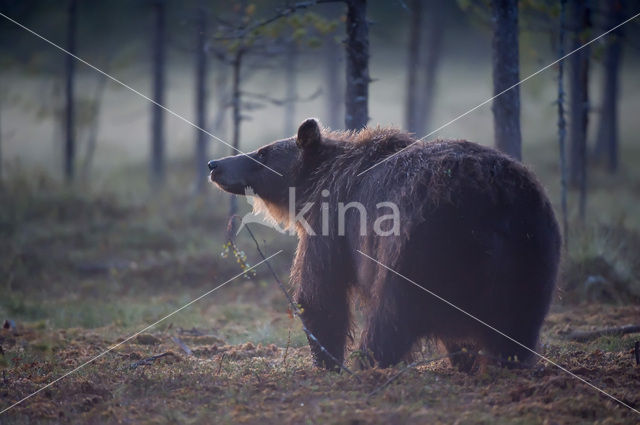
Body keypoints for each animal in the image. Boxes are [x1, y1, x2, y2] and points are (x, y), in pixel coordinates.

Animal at [210, 117, 560, 370]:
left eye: (262, 152)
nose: (215, 164)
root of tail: (492, 198)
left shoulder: (332, 222)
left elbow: (319, 291)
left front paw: (327, 360)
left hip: (416, 246)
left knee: (392, 313)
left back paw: (368, 362)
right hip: (532, 248)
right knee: (519, 323)